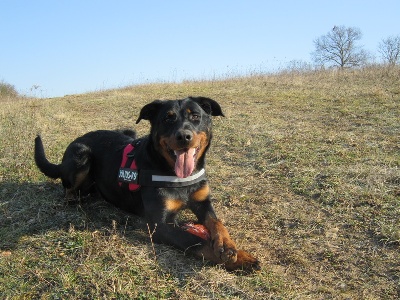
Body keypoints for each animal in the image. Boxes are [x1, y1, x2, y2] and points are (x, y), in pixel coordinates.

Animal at [33, 96, 260, 272]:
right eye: (167, 118)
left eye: (196, 116)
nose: (184, 136)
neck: (176, 175)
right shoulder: (161, 225)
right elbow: (195, 241)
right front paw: (236, 259)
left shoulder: (203, 201)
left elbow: (217, 222)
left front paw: (230, 247)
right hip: (82, 153)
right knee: (67, 189)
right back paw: (76, 199)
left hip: (126, 132)